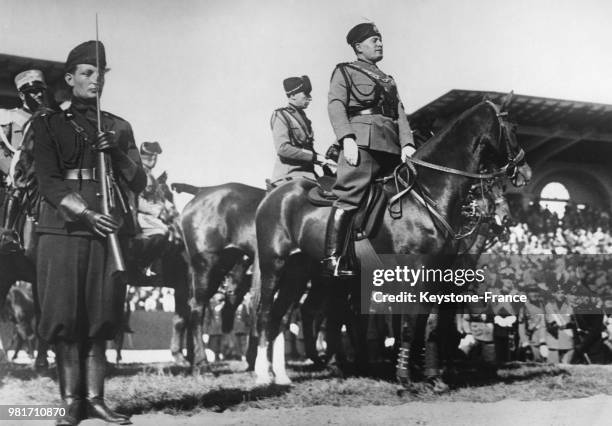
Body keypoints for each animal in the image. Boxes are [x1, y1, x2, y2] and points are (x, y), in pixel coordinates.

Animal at [253, 99, 532, 382]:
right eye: (512, 128)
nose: (525, 172)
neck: (425, 195)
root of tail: (274, 194)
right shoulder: (412, 273)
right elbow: (408, 325)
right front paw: (404, 373)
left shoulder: (435, 275)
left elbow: (428, 325)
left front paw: (431, 374)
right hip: (274, 266)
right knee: (267, 314)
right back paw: (265, 374)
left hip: (298, 273)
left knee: (282, 317)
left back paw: (284, 373)